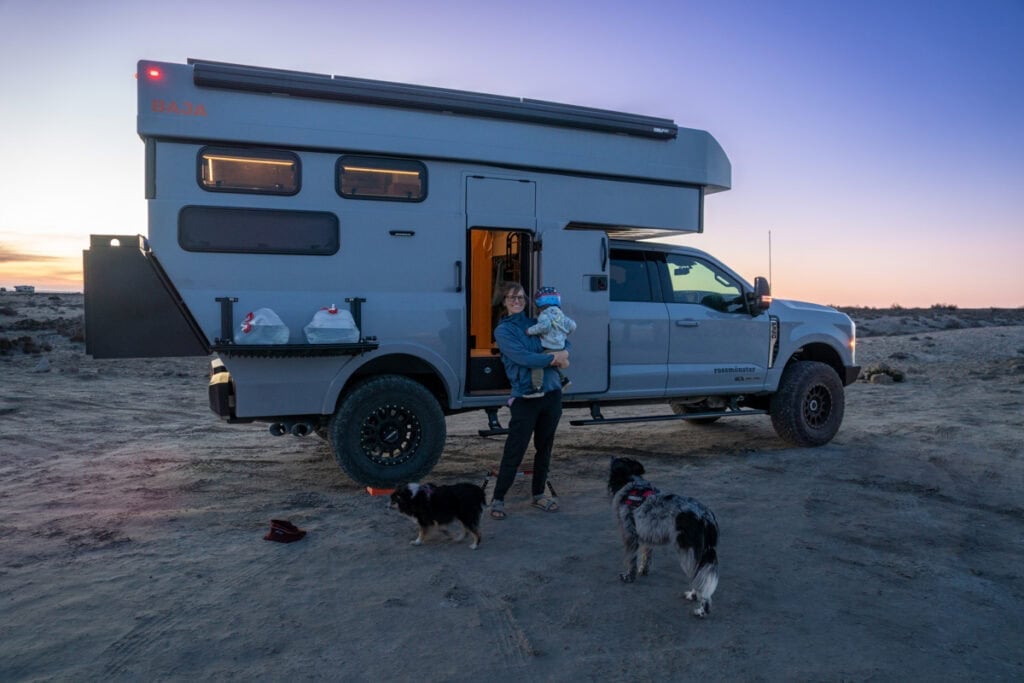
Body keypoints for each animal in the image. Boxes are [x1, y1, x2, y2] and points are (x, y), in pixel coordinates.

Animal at [606, 456, 720, 618]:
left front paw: (629, 577)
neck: (632, 485)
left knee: (699, 581)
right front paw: (643, 571)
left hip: (687, 552)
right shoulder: (646, 537)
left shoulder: (630, 535)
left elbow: (631, 561)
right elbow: (646, 557)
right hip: (701, 553)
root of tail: (706, 516)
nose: (611, 456)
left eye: (617, 461)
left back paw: (700, 607)